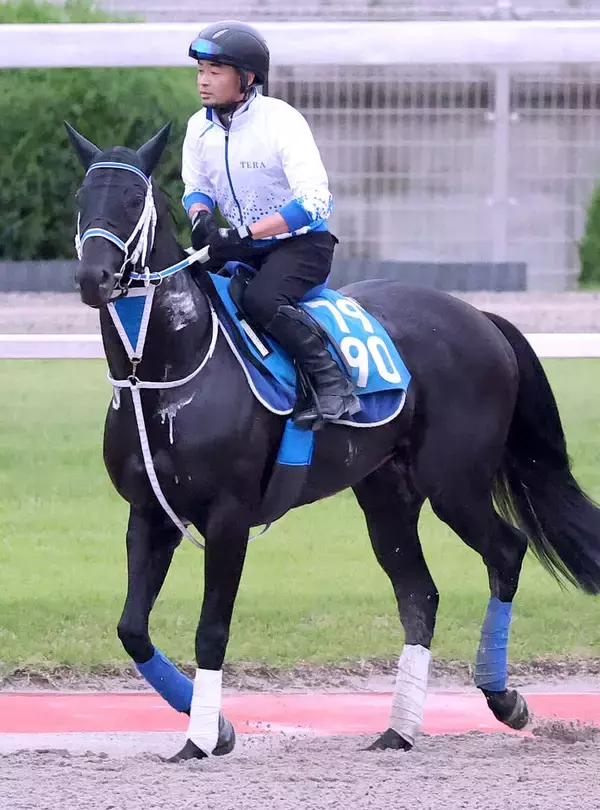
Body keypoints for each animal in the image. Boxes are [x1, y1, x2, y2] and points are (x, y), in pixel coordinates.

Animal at [66, 121, 600, 762]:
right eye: (82, 198)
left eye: (131, 200)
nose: (94, 278)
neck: (164, 371)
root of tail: (479, 316)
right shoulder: (151, 512)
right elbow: (132, 630)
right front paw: (218, 728)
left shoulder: (228, 516)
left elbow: (211, 630)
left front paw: (200, 737)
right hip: (387, 494)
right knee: (420, 596)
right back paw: (399, 729)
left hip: (455, 484)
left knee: (506, 551)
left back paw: (503, 698)